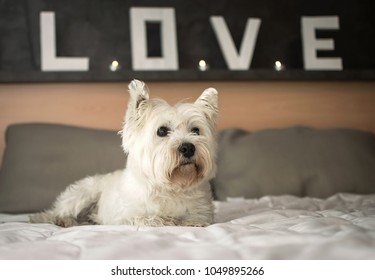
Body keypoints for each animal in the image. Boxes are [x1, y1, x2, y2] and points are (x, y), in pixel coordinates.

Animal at [30, 79, 219, 228]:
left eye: (196, 130)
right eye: (162, 131)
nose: (188, 148)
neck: (171, 186)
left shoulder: (202, 211)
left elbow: (196, 219)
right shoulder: (125, 216)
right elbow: (151, 219)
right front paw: (167, 220)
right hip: (83, 193)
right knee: (57, 211)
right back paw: (59, 220)